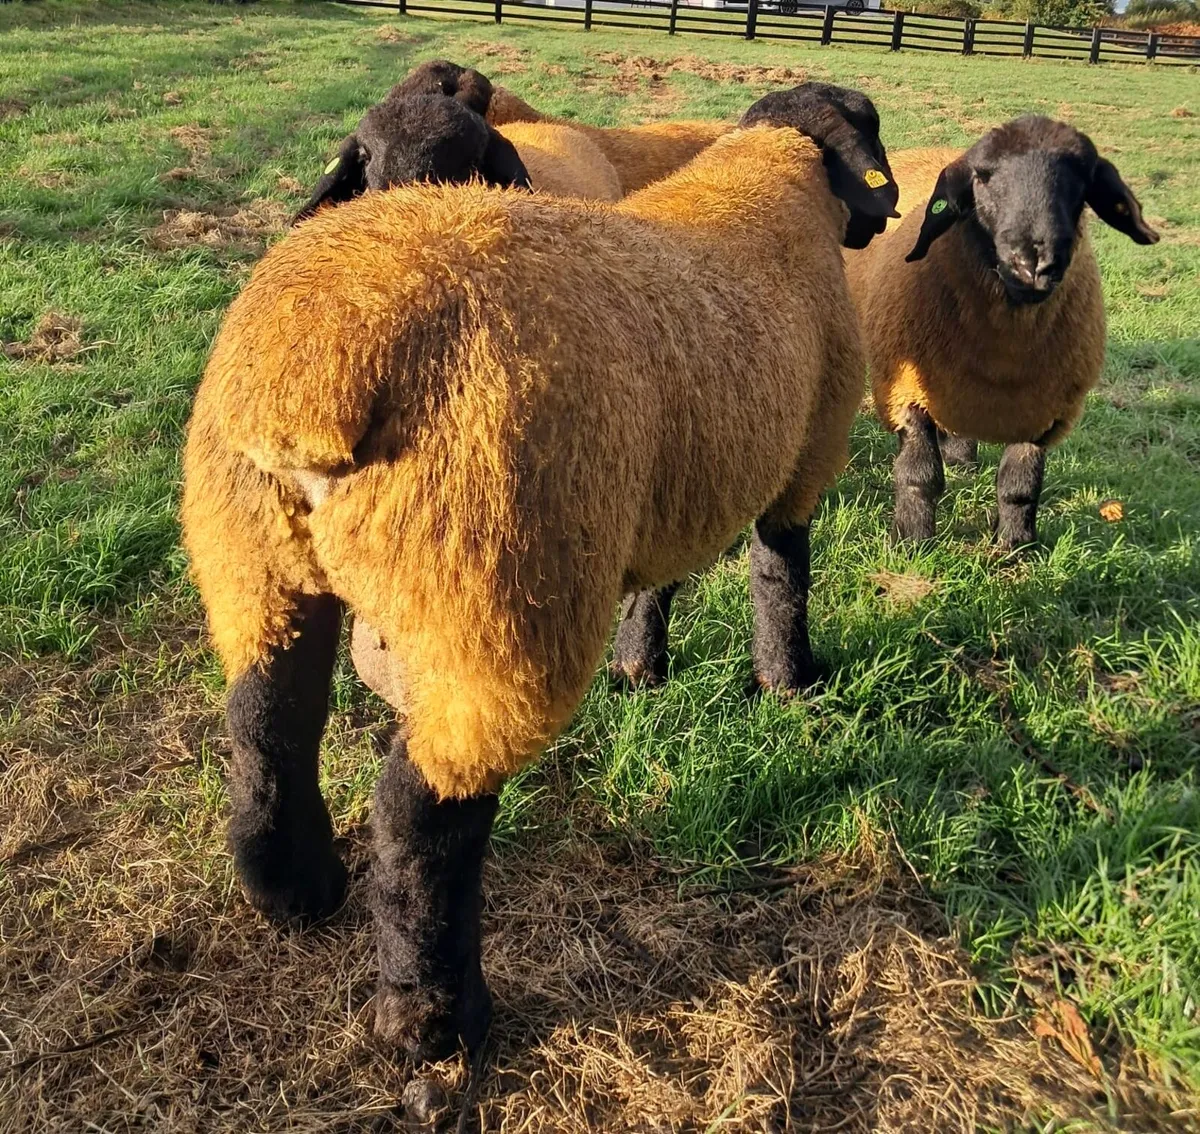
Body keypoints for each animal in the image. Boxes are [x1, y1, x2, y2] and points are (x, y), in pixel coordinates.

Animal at [181, 81, 898, 1063]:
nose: (887, 215)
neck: (780, 181)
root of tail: (321, 369)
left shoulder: (674, 483)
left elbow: (661, 583)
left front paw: (642, 668)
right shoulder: (805, 458)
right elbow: (781, 578)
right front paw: (791, 685)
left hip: (256, 561)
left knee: (266, 726)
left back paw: (294, 892)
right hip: (495, 598)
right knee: (420, 813)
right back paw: (435, 1021)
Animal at [843, 116, 1159, 548]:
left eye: (1083, 178)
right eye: (982, 176)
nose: (1033, 263)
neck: (1004, 354)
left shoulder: (1045, 406)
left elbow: (1020, 484)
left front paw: (1015, 546)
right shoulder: (906, 390)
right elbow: (919, 474)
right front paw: (912, 541)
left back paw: (963, 462)